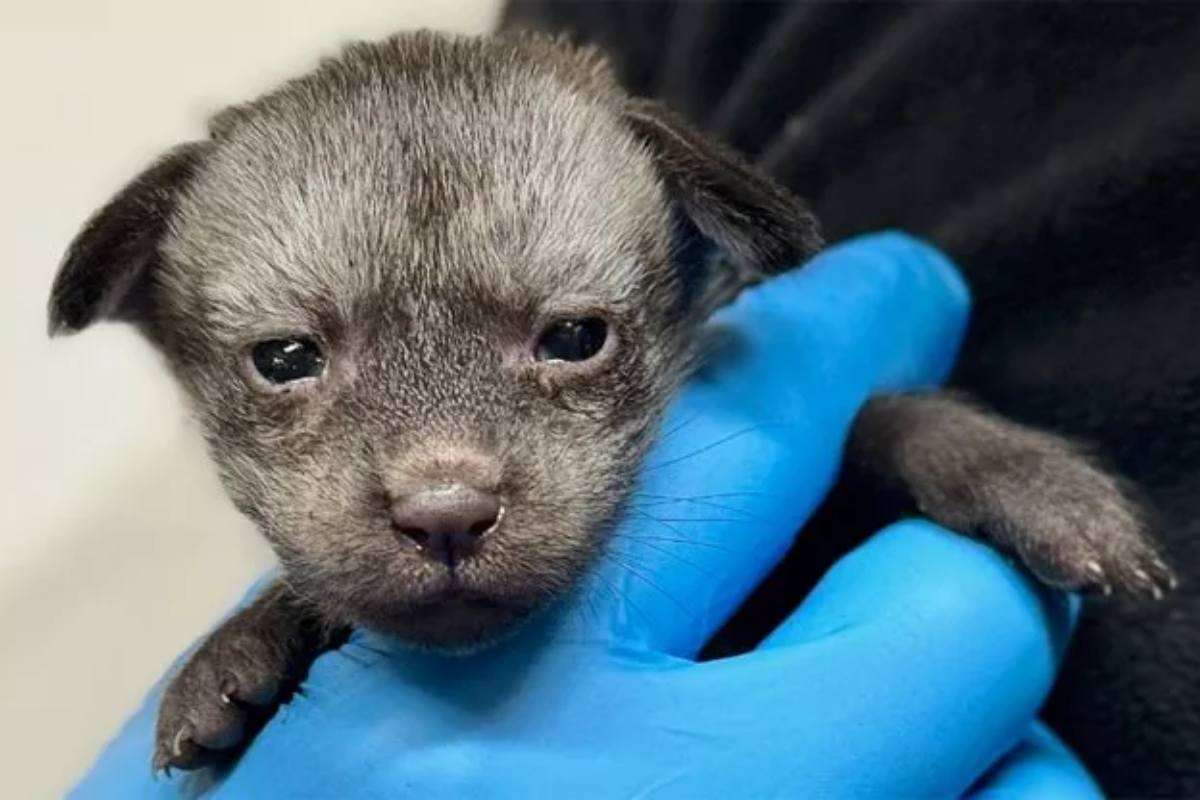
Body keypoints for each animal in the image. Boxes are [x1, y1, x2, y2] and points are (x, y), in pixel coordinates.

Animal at [44, 29, 1171, 767]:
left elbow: (879, 417)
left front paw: (1031, 482)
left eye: (577, 339)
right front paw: (242, 643)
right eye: (284, 358)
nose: (445, 513)